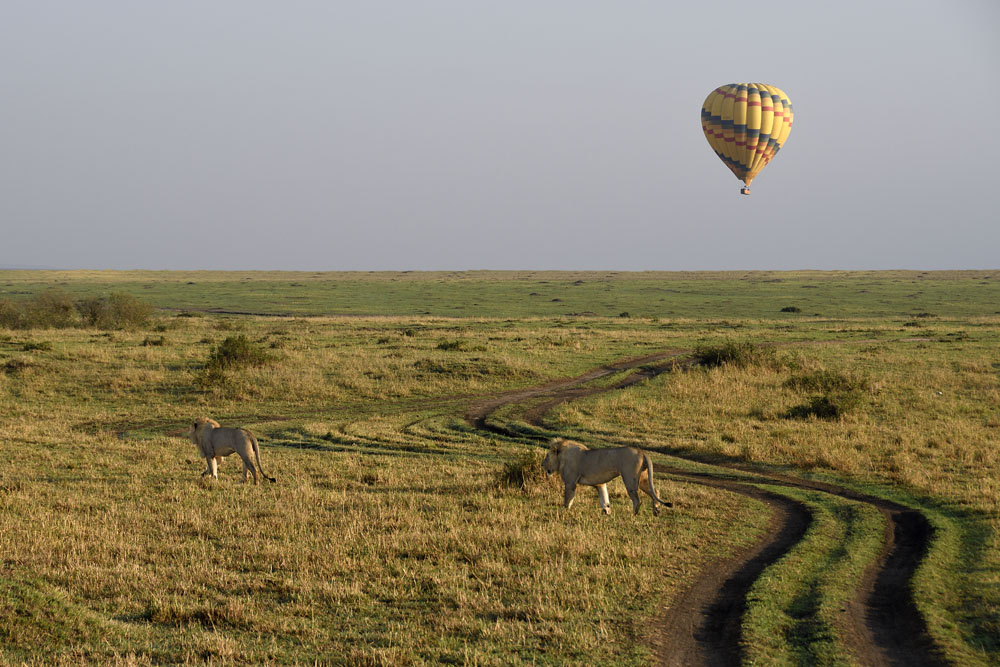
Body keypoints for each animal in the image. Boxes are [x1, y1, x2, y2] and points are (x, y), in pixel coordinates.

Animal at [542, 437, 671, 515]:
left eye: (547, 456)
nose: (542, 464)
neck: (561, 457)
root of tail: (641, 451)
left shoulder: (570, 483)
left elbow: (568, 499)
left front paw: (565, 512)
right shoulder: (600, 483)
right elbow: (604, 498)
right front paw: (606, 512)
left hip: (630, 478)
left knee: (637, 500)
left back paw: (632, 515)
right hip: (643, 479)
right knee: (656, 491)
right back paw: (657, 510)